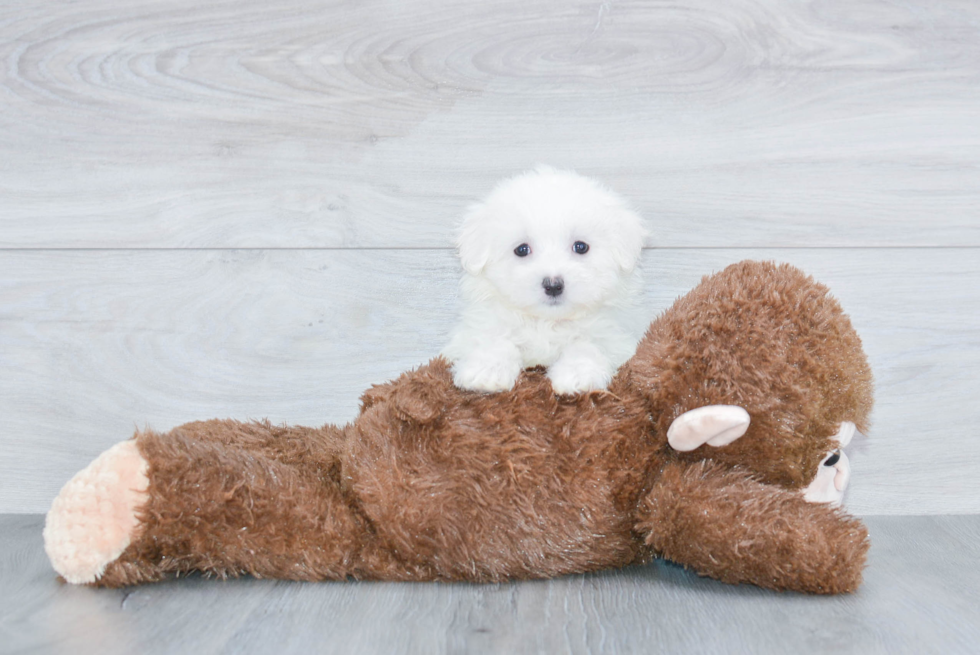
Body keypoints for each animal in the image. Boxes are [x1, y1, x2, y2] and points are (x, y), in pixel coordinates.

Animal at [442, 168, 644, 394]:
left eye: (581, 247)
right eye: (522, 249)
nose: (553, 285)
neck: (546, 322)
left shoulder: (615, 337)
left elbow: (586, 344)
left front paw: (578, 375)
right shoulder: (475, 328)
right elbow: (496, 338)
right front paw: (487, 372)